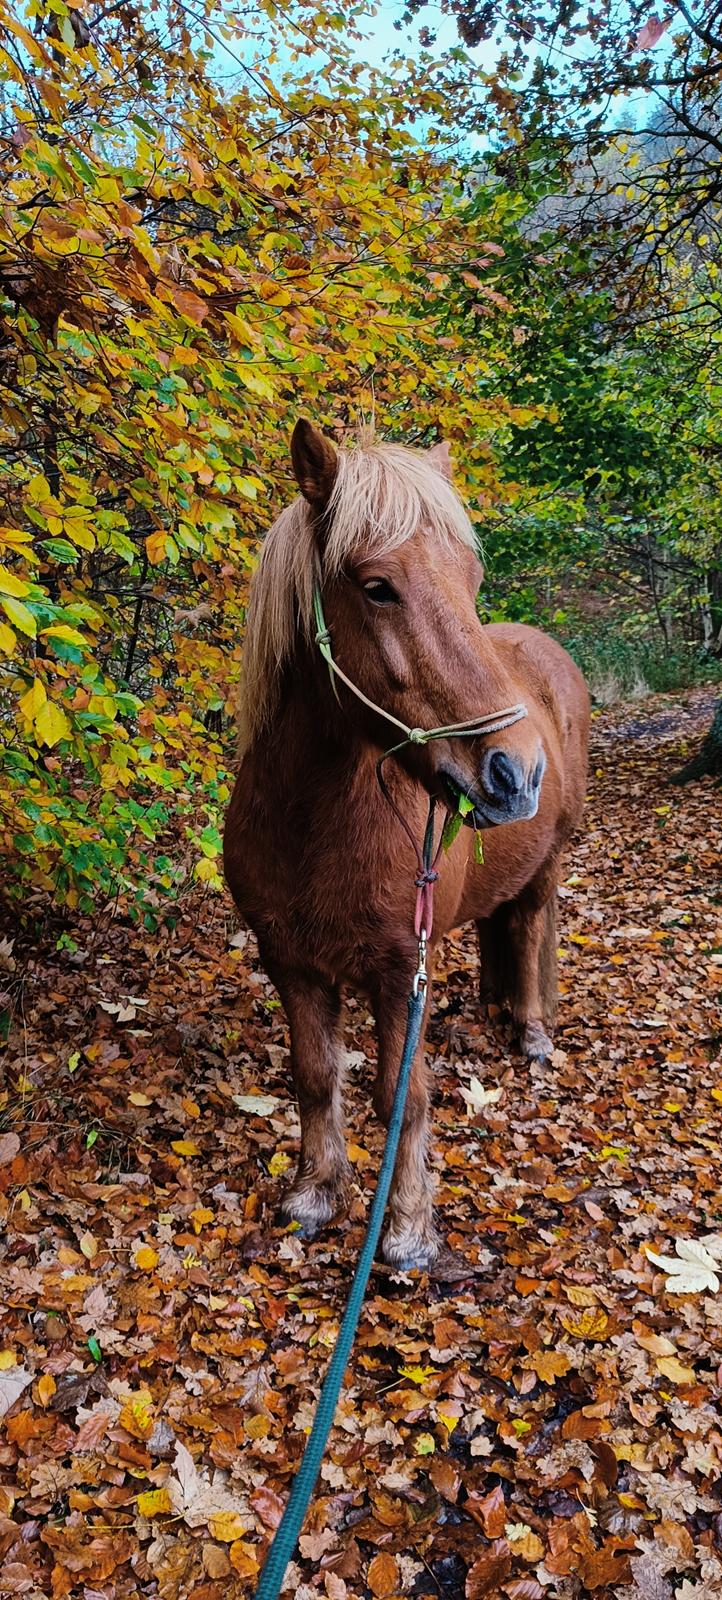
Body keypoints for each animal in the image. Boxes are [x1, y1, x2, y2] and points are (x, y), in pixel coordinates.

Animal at [222, 419, 592, 1267]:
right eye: (377, 586)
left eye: (471, 578)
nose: (515, 770)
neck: (313, 823)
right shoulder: (290, 962)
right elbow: (315, 1074)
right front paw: (316, 1194)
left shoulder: (399, 972)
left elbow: (401, 1094)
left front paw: (409, 1229)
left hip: (549, 861)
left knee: (531, 926)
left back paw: (529, 1031)